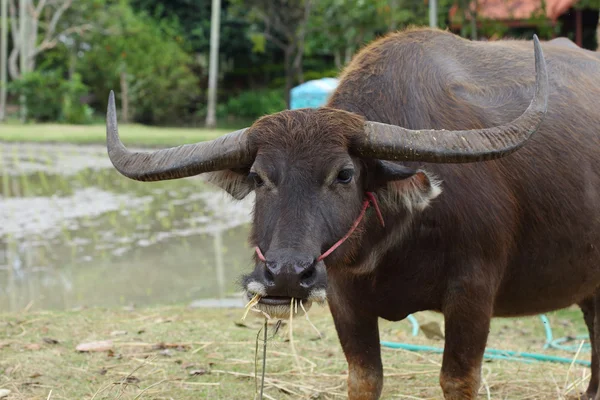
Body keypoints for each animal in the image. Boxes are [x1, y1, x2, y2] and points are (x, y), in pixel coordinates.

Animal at [105, 28, 600, 400]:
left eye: (343, 174)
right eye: (260, 177)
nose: (285, 275)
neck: (395, 241)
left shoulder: (472, 294)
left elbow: (458, 381)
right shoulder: (345, 298)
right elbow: (363, 380)